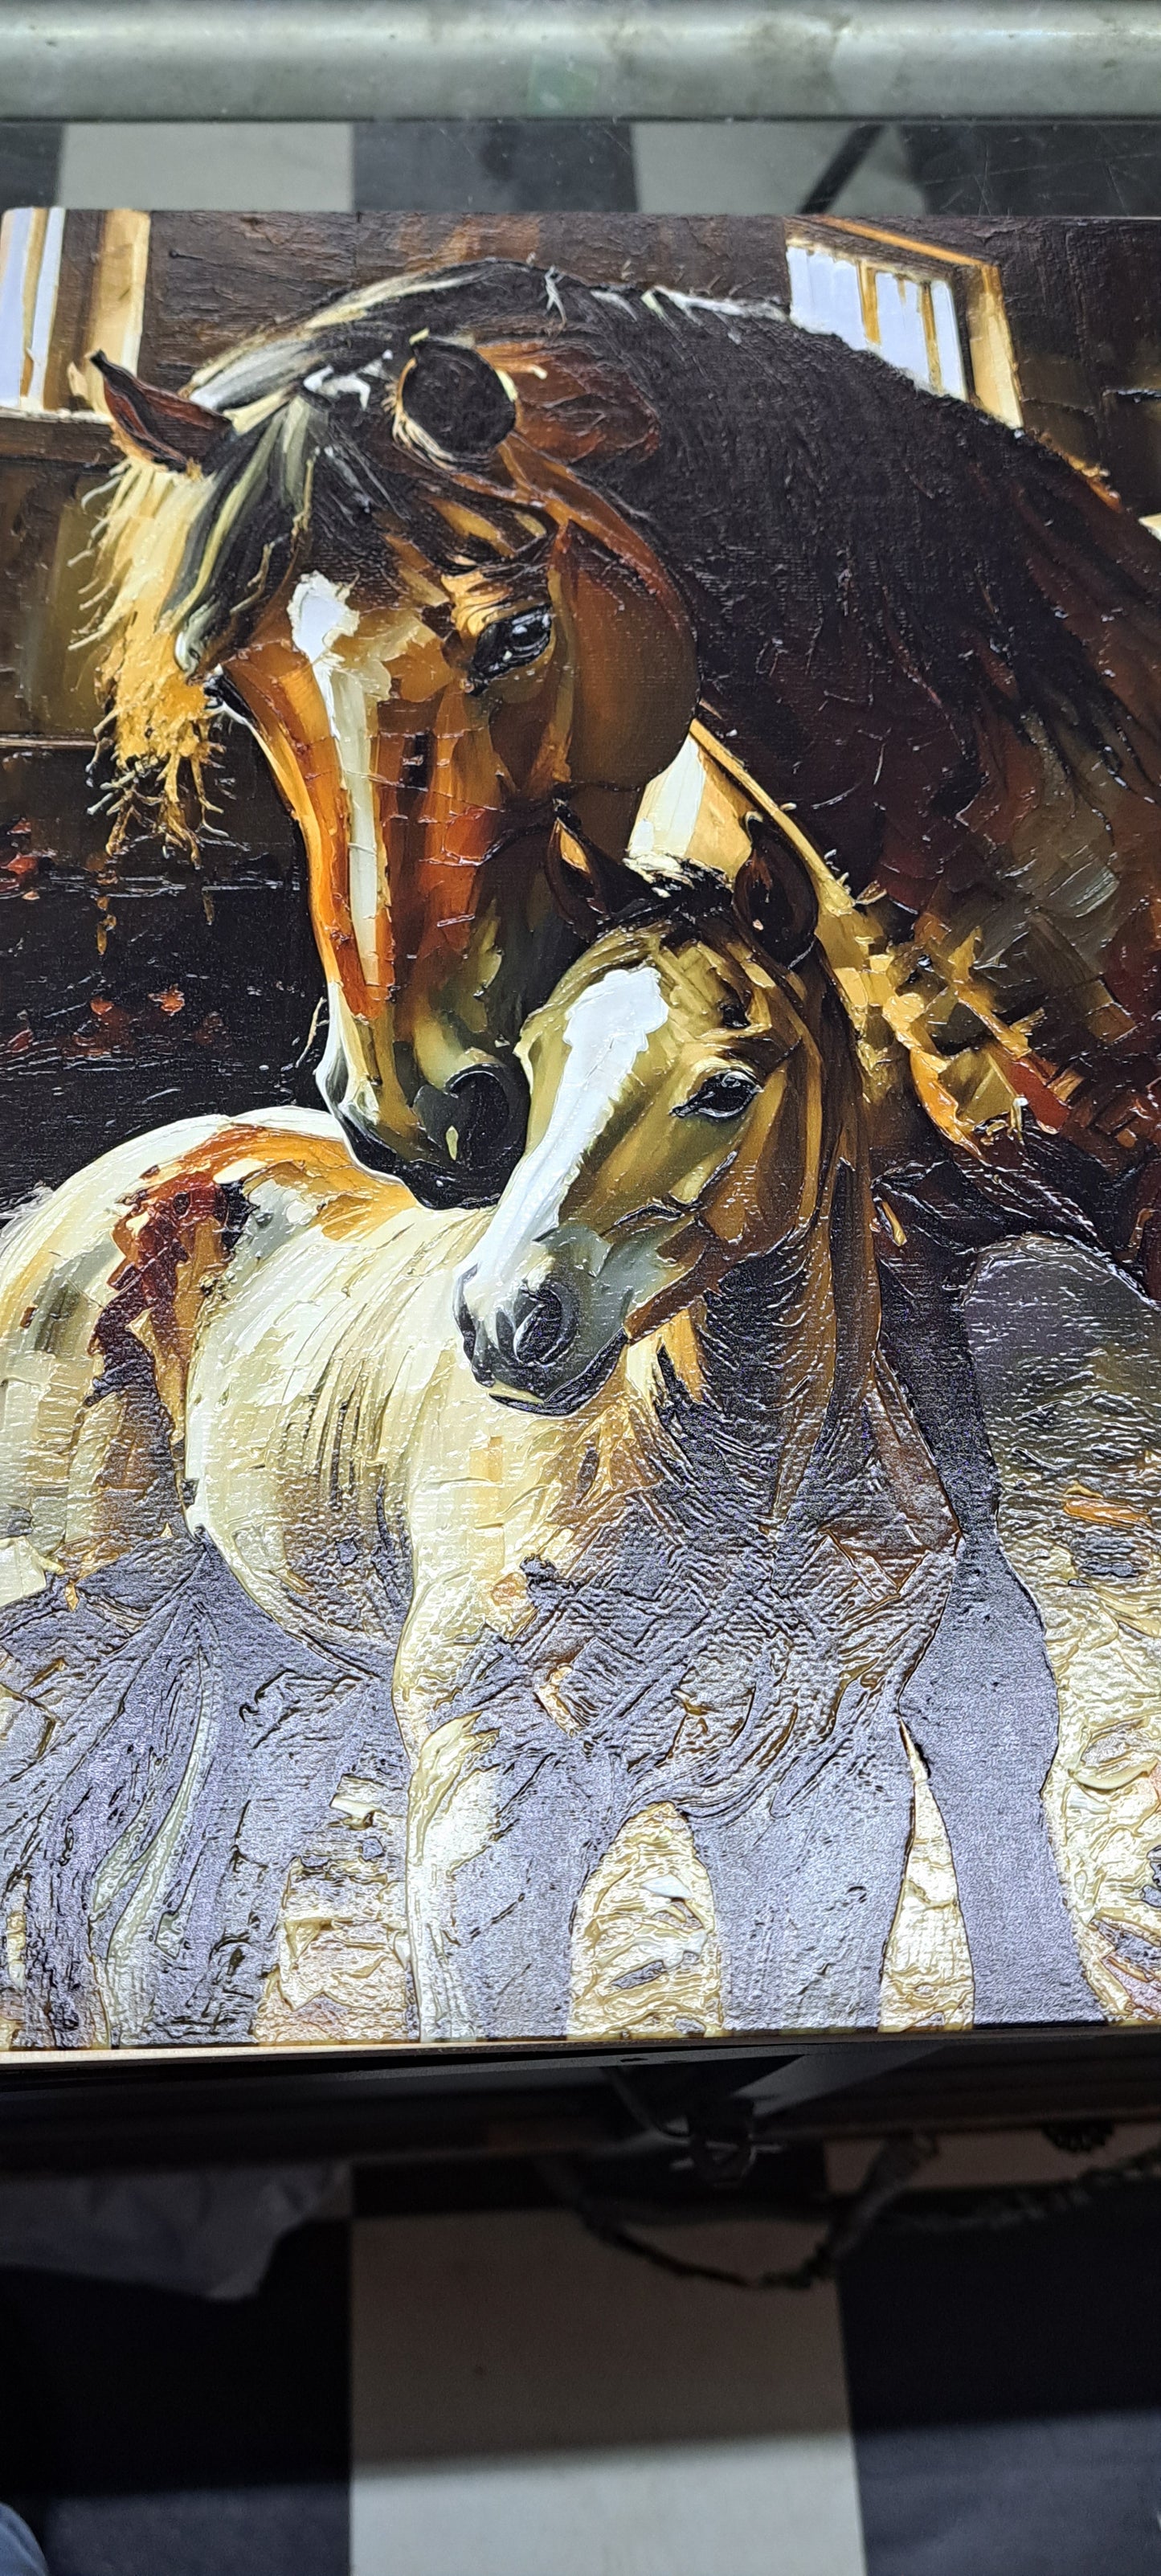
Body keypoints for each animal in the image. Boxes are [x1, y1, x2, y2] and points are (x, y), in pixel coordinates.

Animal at [0, 824, 1093, 2044]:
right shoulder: (491, 1802)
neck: (738, 1494)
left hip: (280, 1672)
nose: (502, 1319)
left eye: (727, 1085)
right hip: (64, 1633)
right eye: (537, 1059)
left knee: (170, 1946)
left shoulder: (820, 1802)